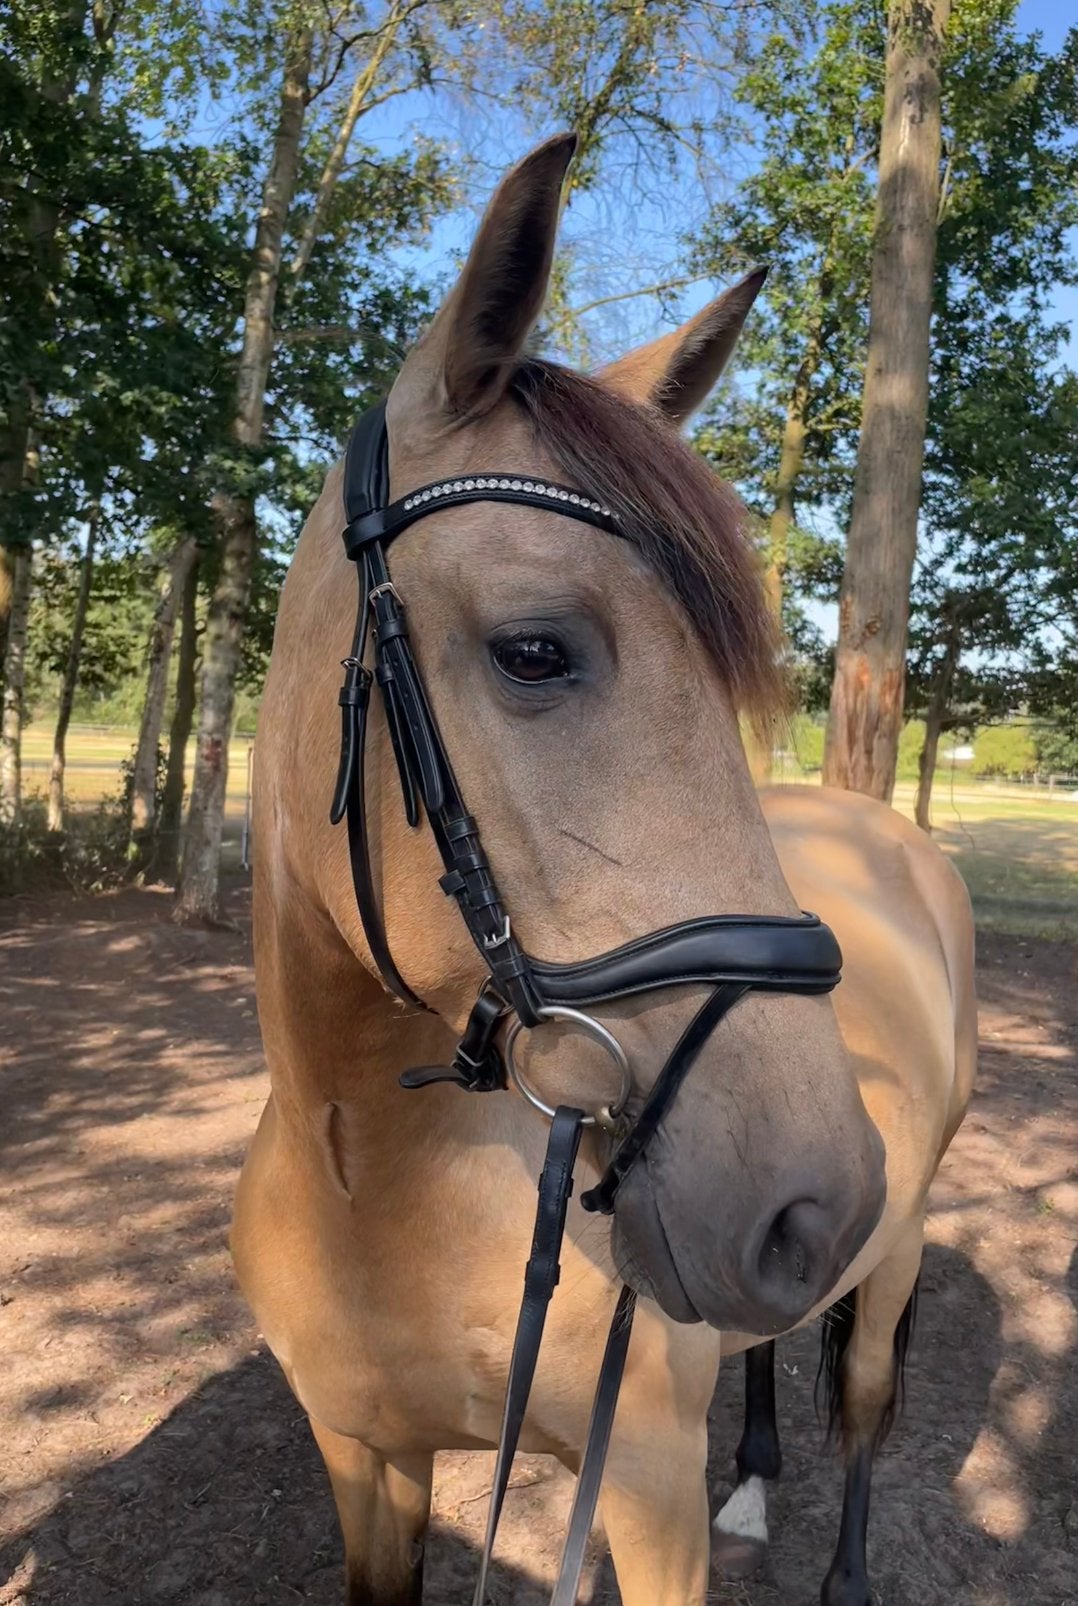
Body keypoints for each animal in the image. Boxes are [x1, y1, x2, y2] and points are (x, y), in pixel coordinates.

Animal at [232, 133, 976, 1606]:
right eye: (535, 650)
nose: (816, 1196)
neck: (374, 1192)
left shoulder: (639, 1492)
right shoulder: (365, 1459)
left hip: (899, 1244)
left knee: (865, 1402)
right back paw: (756, 1469)